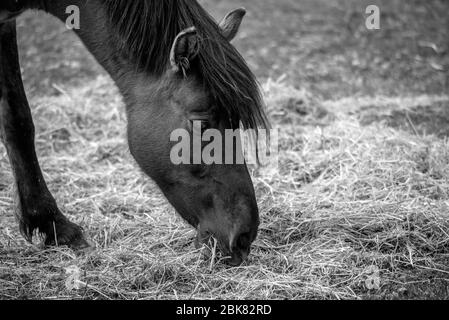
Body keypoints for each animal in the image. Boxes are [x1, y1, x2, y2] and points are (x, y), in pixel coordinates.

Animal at [0, 0, 268, 264]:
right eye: (202, 124)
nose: (244, 236)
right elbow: (18, 118)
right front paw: (52, 223)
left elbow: (16, 117)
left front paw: (51, 225)